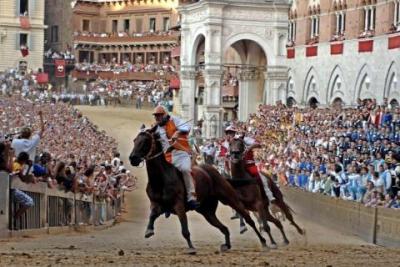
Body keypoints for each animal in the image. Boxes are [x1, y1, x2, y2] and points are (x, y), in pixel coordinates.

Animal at [130, 129, 268, 254]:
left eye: (145, 141)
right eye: (135, 140)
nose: (132, 158)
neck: (161, 179)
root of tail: (216, 172)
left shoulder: (179, 205)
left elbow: (185, 229)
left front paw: (191, 248)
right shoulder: (156, 203)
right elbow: (152, 215)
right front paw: (149, 230)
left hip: (230, 198)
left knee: (248, 219)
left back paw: (264, 242)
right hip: (207, 211)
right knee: (224, 228)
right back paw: (227, 245)